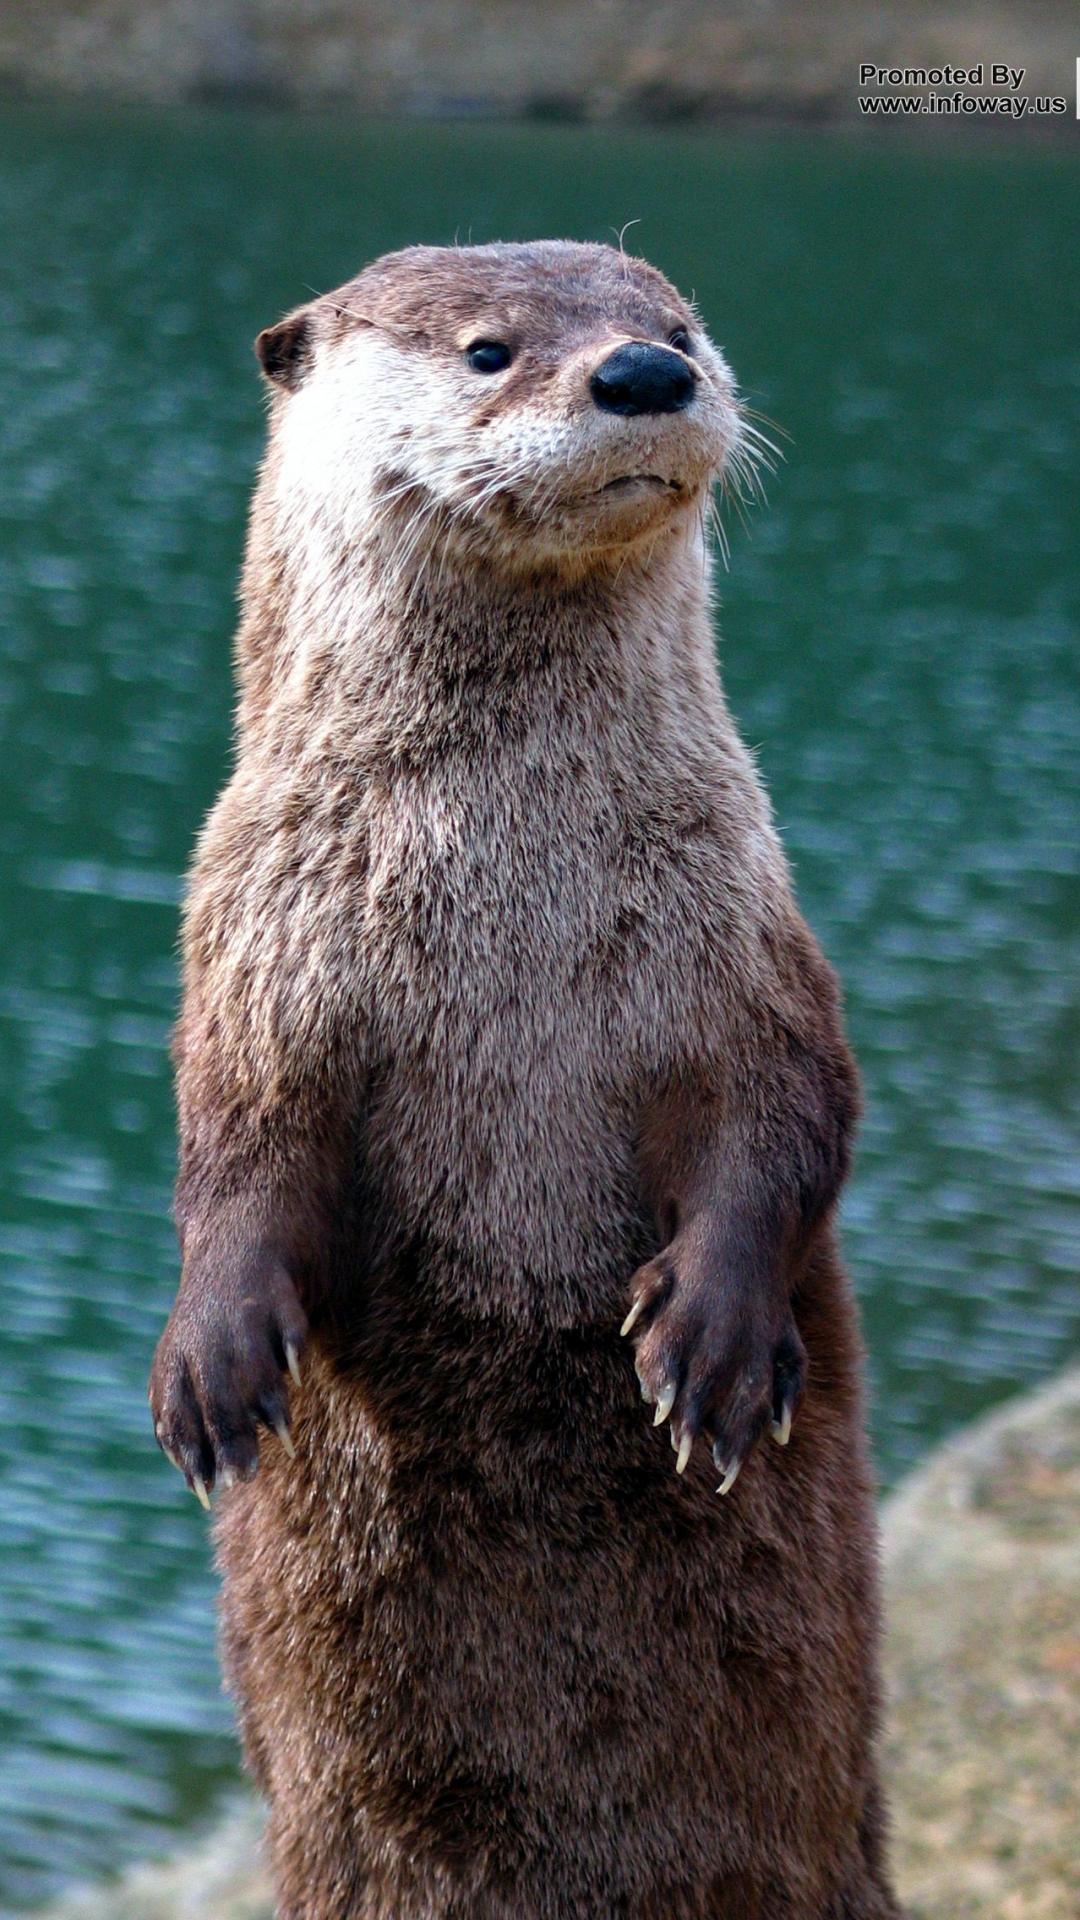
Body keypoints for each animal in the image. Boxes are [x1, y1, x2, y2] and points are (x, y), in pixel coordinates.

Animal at [149, 240, 902, 1920]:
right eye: (489, 350)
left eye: (676, 322)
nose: (644, 372)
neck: (512, 873)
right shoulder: (257, 943)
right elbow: (235, 1147)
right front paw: (213, 1351)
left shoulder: (742, 935)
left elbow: (790, 1115)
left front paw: (713, 1336)